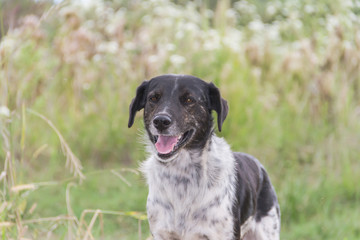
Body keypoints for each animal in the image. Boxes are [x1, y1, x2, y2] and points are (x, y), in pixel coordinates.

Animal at [128, 74, 280, 239]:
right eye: (154, 98)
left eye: (189, 100)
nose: (161, 121)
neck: (182, 175)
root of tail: (258, 165)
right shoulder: (162, 233)